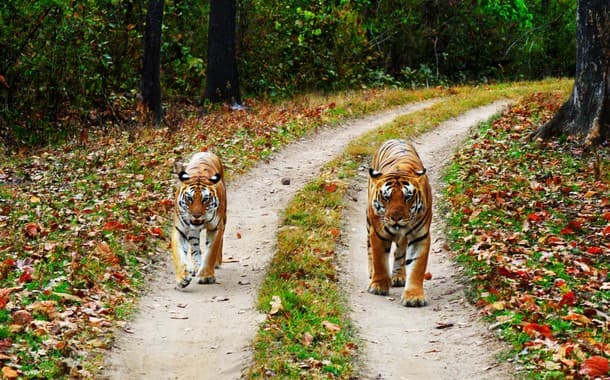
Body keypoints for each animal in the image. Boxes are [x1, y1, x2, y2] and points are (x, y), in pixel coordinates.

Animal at [171, 151, 226, 288]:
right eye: (189, 198)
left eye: (205, 199)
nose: (196, 215)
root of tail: (205, 152)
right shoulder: (179, 229)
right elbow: (179, 254)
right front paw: (182, 278)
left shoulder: (216, 228)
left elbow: (211, 252)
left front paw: (206, 276)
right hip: (192, 233)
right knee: (195, 247)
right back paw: (196, 267)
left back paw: (216, 262)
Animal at [364, 138, 430, 308]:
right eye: (386, 197)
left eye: (407, 197)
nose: (396, 218)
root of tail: (395, 138)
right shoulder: (378, 233)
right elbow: (379, 260)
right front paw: (378, 286)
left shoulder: (420, 236)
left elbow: (417, 267)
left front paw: (414, 296)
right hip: (368, 222)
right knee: (369, 248)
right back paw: (372, 273)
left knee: (400, 252)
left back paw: (398, 276)